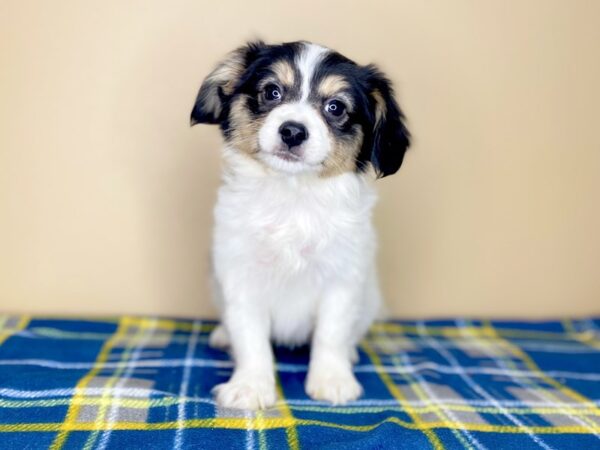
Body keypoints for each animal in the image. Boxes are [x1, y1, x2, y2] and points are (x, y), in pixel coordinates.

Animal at [190, 40, 410, 410]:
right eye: (272, 92)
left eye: (336, 107)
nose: (292, 131)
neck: (293, 198)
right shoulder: (241, 277)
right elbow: (250, 338)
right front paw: (251, 385)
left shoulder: (342, 279)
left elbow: (331, 334)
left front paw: (332, 380)